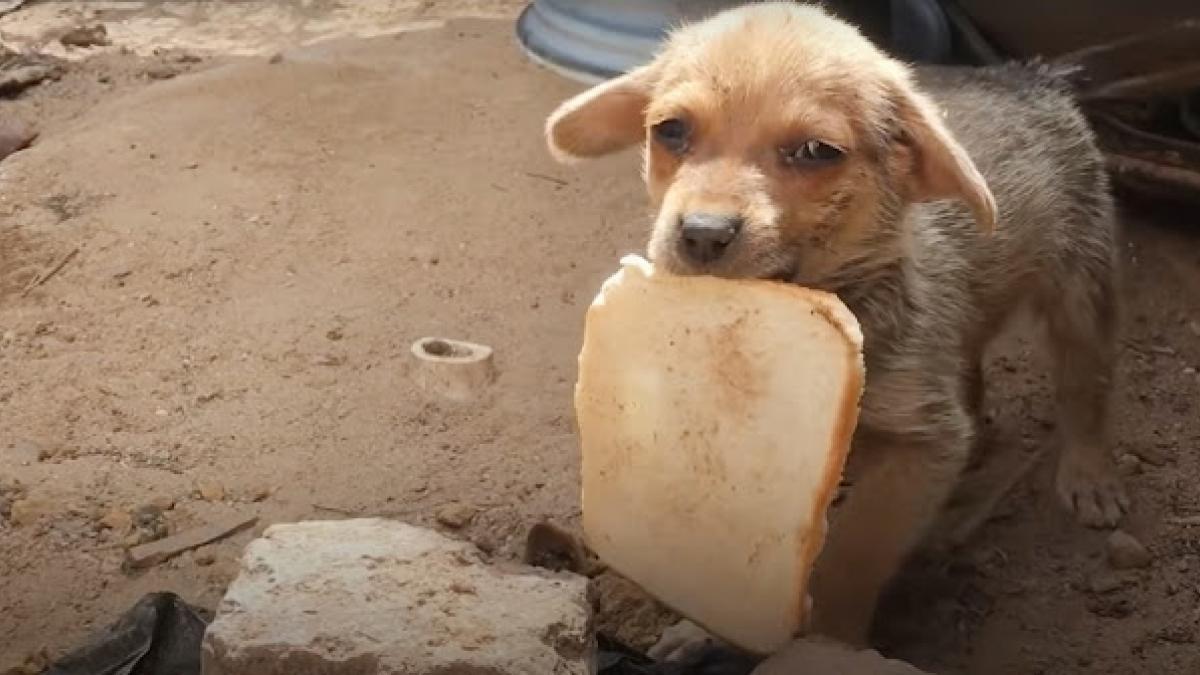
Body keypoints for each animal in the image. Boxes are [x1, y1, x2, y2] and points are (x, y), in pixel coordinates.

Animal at [544, 2, 1123, 648]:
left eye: (817, 151)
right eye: (670, 131)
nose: (702, 234)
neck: (841, 295)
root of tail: (1029, 75)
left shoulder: (921, 442)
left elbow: (857, 550)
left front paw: (832, 636)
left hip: (1082, 285)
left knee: (1085, 387)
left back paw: (1089, 473)